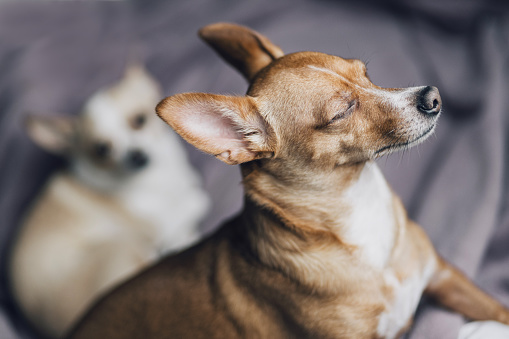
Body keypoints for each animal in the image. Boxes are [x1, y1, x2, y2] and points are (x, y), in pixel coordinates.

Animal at [7, 65, 207, 338]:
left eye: (139, 120)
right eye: (102, 149)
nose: (136, 155)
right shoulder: (166, 225)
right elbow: (184, 220)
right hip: (122, 245)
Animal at [67, 23, 508, 339]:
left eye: (367, 74)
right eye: (341, 112)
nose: (432, 96)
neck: (358, 215)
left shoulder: (445, 277)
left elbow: (497, 308)